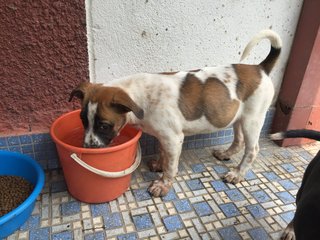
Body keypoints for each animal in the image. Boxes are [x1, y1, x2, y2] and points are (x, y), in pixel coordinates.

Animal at [69, 29, 282, 196]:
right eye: (83, 121)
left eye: (104, 125)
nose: (87, 148)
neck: (141, 95)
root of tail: (260, 68)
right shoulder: (164, 137)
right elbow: (163, 153)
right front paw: (159, 165)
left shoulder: (173, 138)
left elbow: (171, 166)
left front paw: (163, 184)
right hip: (238, 117)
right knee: (238, 141)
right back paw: (225, 154)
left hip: (252, 119)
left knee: (252, 149)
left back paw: (237, 174)